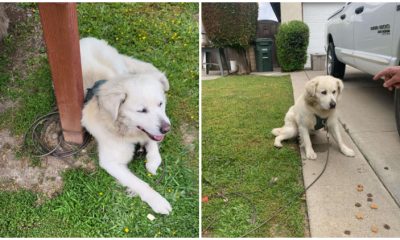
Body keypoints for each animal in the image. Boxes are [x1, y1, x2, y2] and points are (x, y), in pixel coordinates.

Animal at [80, 38, 172, 216]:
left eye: (160, 104)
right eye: (142, 110)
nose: (167, 129)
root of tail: (84, 39)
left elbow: (154, 146)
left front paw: (152, 161)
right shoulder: (110, 162)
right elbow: (139, 183)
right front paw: (157, 201)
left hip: (117, 65)